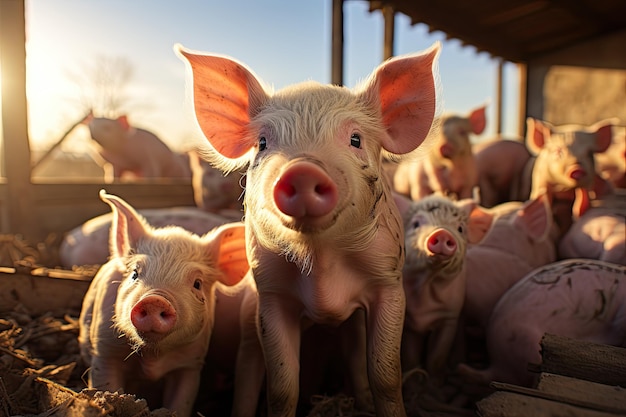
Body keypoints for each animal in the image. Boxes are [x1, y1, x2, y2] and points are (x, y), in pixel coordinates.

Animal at [79, 189, 250, 416]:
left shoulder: (190, 363)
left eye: (197, 283)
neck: (153, 355)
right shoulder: (104, 352)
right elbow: (107, 385)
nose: (154, 300)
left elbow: (180, 402)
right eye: (135, 274)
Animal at [174, 40, 438, 416]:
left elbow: (385, 375)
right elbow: (283, 386)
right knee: (250, 365)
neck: (322, 262)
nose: (302, 169)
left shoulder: (388, 282)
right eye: (263, 143)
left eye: (355, 139)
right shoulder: (270, 294)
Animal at [394, 193, 492, 388]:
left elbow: (437, 356)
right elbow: (411, 355)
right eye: (416, 224)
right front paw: (414, 384)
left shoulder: (449, 318)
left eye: (460, 229)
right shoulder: (410, 323)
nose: (442, 232)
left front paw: (435, 385)